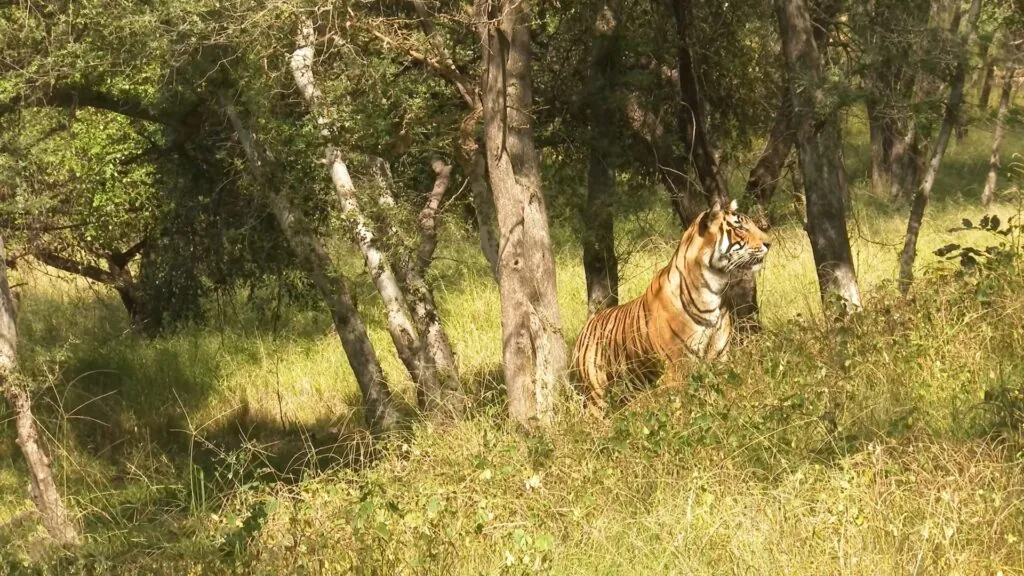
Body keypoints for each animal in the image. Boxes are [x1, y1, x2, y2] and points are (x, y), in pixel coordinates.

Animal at [573, 199, 770, 405]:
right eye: (740, 227)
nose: (769, 243)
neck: (715, 289)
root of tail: (588, 325)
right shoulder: (676, 369)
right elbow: (681, 408)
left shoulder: (719, 361)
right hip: (597, 394)